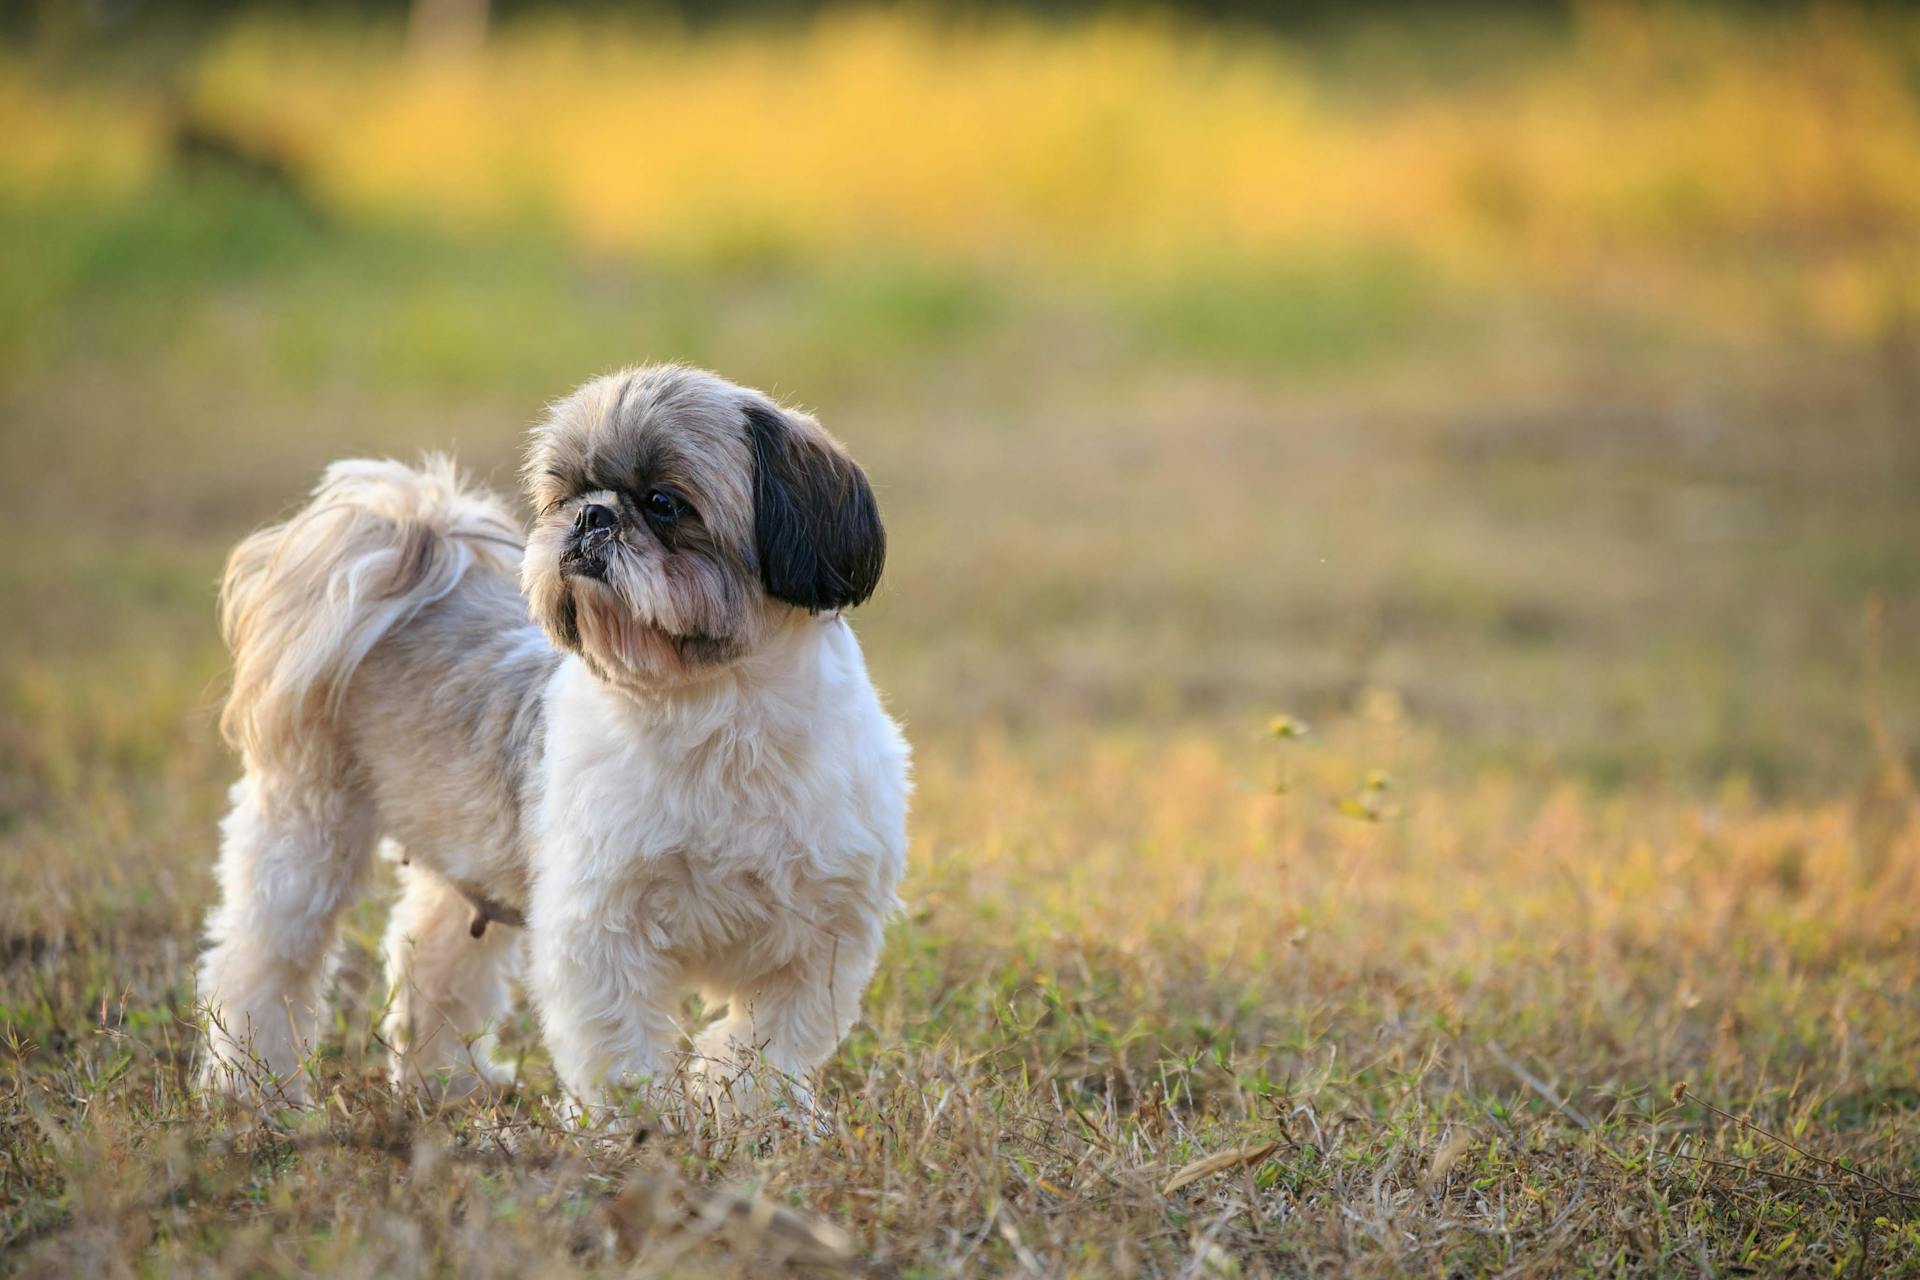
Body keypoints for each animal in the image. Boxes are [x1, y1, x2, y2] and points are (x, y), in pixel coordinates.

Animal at [196, 362, 913, 1120]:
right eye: (564, 496)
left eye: (664, 503)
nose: (592, 516)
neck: (720, 716)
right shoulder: (600, 930)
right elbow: (621, 1047)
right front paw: (638, 1125)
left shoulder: (820, 937)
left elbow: (769, 1045)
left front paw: (755, 1119)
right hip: (306, 836)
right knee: (264, 964)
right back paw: (253, 1090)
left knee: (435, 962)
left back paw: (447, 1083)